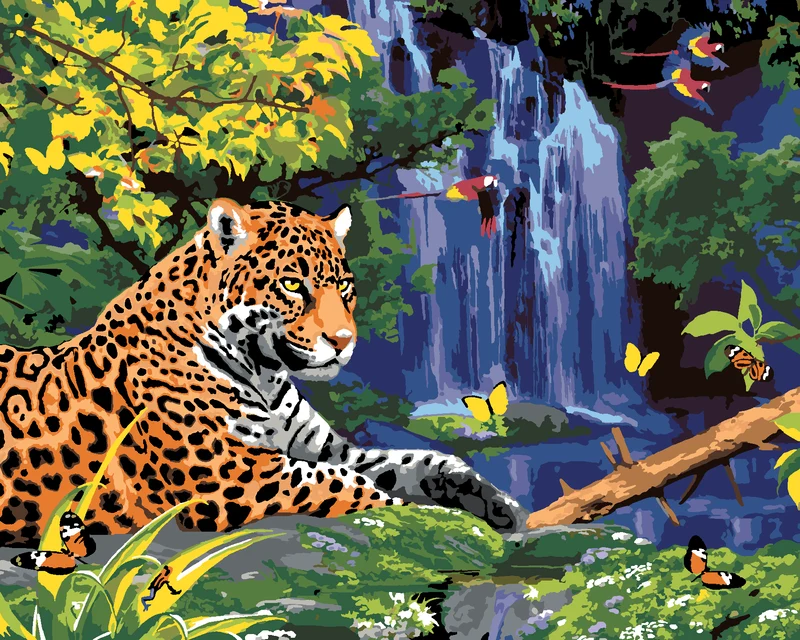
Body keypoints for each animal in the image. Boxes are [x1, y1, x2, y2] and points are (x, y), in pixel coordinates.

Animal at [0, 198, 529, 546]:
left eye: (344, 286)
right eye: (293, 285)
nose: (344, 341)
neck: (265, 373)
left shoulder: (325, 447)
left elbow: (410, 462)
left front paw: (492, 503)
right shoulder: (234, 477)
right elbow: (351, 486)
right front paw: (434, 519)